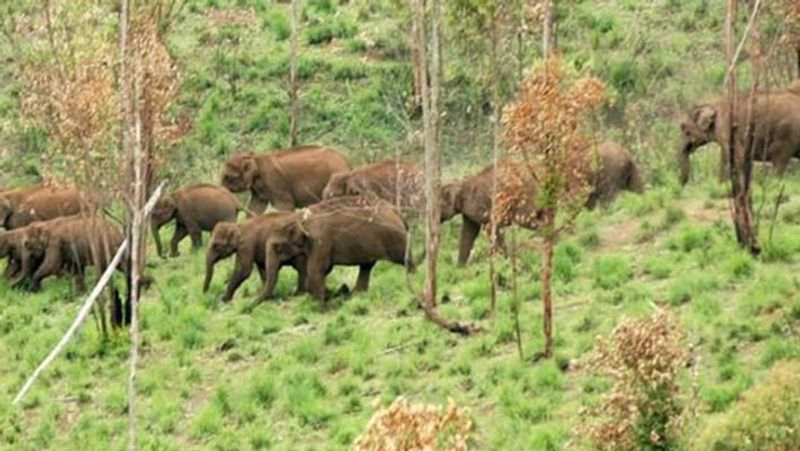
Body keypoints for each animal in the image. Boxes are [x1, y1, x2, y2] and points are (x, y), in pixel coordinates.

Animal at [220, 146, 348, 215]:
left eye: (229, 177)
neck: (255, 158)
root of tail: (346, 161)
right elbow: (256, 206)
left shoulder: (275, 182)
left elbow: (285, 206)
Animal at [260, 196, 416, 306]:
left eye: (278, 248)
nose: (251, 306)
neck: (300, 218)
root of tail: (397, 212)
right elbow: (323, 270)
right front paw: (333, 294)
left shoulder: (320, 240)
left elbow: (314, 271)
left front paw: (324, 306)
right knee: (366, 266)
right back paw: (355, 294)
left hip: (396, 239)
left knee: (405, 260)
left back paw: (415, 279)